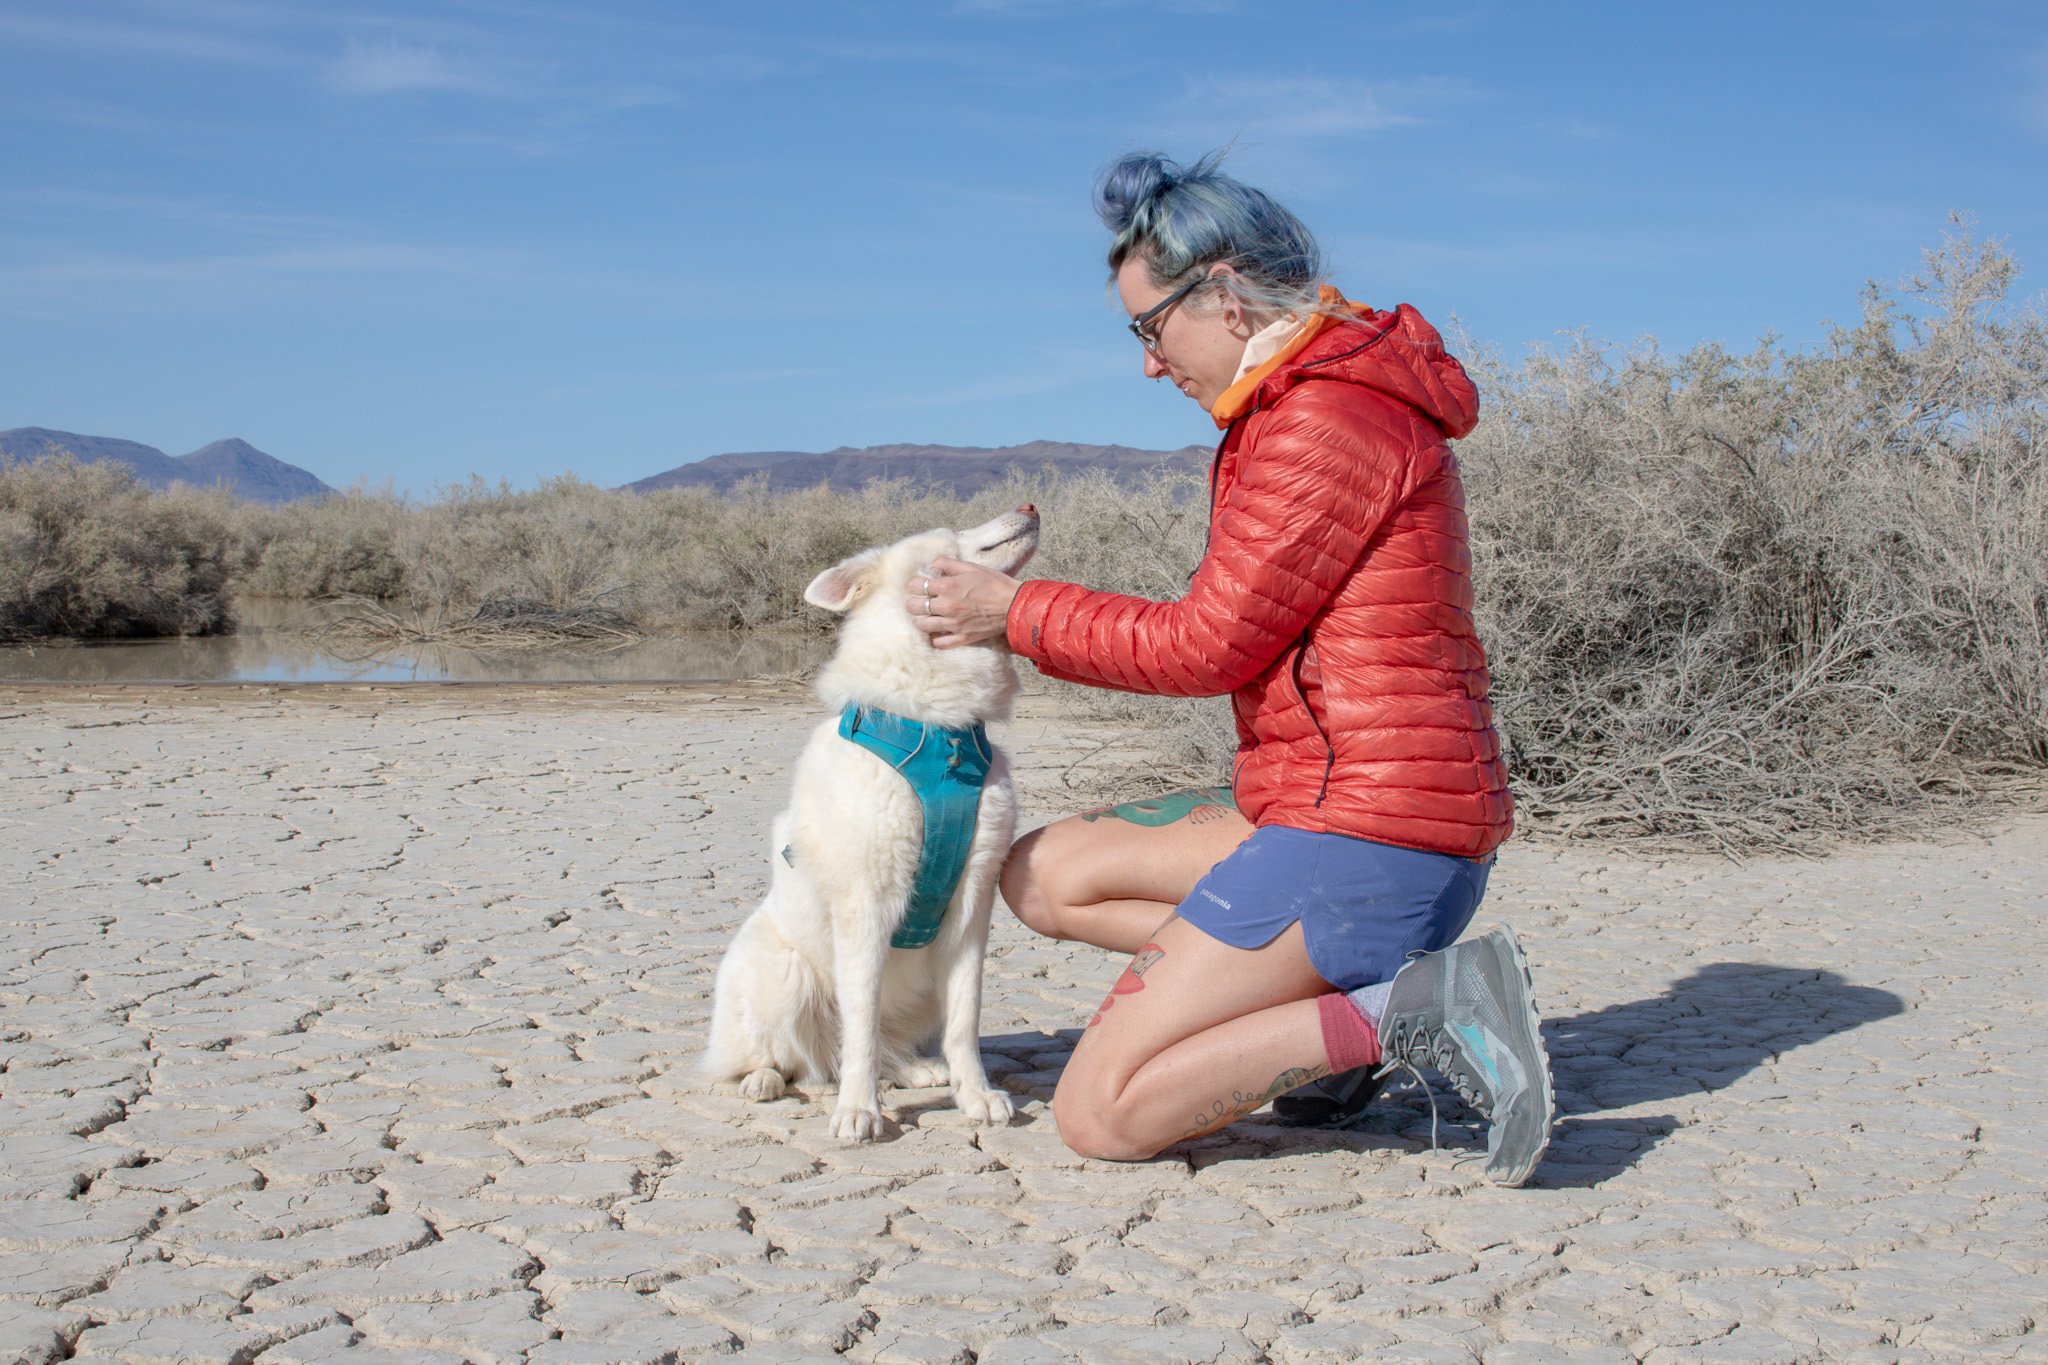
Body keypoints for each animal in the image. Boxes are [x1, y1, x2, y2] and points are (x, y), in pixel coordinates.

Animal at [700, 507, 1040, 1137]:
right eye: (949, 536)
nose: (1029, 509)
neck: (939, 733)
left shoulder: (973, 904)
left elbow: (965, 1020)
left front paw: (975, 1095)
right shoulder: (866, 904)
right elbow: (858, 1026)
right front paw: (858, 1111)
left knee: (881, 1048)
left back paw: (918, 1071)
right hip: (784, 973)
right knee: (783, 1058)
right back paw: (765, 1081)